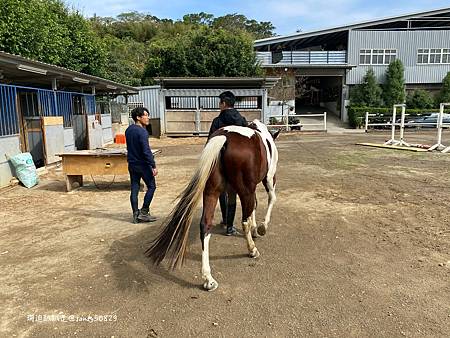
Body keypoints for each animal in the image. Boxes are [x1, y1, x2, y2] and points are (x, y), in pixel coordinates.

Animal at [145, 119, 278, 290]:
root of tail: (225, 138)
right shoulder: (268, 178)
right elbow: (270, 199)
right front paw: (262, 228)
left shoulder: (234, 190)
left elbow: (250, 207)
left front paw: (255, 229)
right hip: (245, 189)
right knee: (244, 221)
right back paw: (252, 250)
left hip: (212, 192)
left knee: (205, 225)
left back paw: (208, 278)